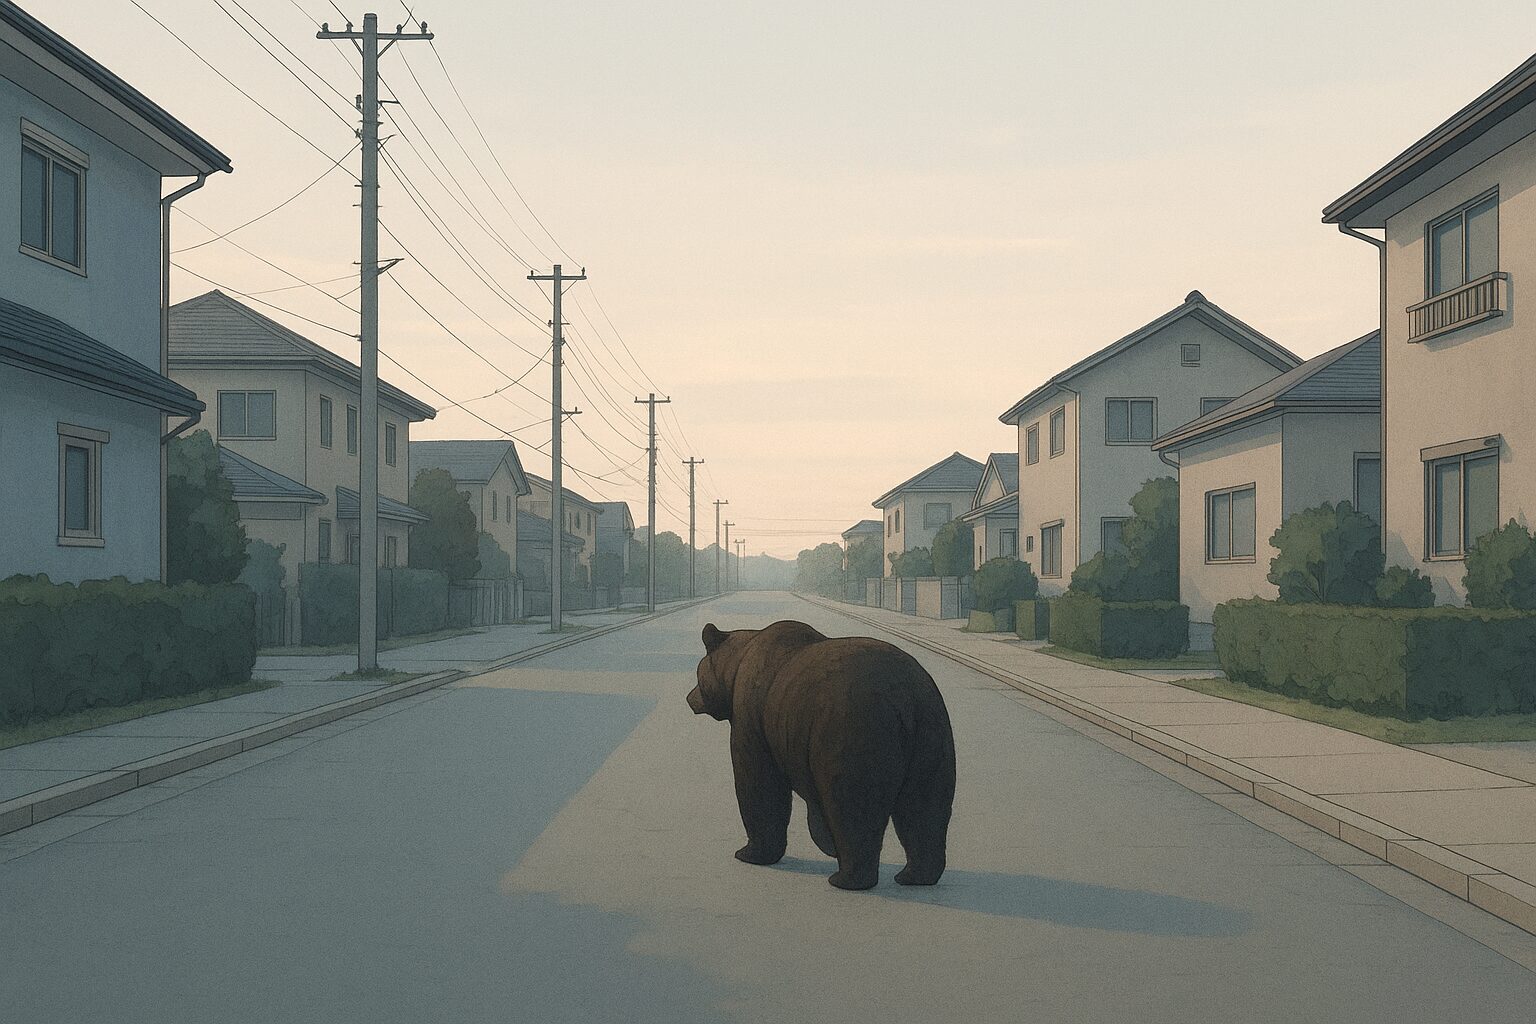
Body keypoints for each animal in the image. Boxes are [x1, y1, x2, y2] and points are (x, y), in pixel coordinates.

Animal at [686, 619, 956, 891]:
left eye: (698, 673)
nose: (690, 697)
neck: (737, 664)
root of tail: (904, 697)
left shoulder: (753, 716)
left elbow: (759, 783)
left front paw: (749, 853)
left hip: (854, 731)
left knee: (853, 805)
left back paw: (846, 879)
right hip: (932, 735)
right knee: (924, 806)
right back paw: (914, 876)